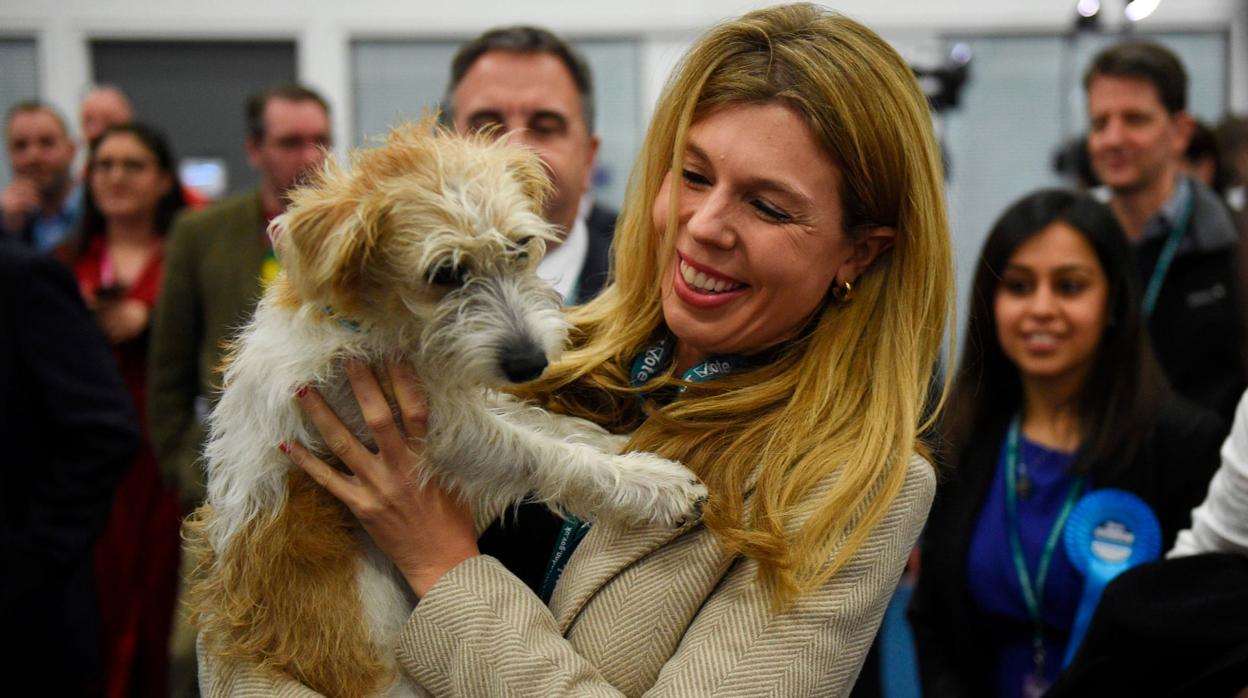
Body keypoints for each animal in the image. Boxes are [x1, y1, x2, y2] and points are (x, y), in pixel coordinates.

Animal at [189, 117, 708, 694]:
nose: (531, 363)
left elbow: (540, 421)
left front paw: (621, 443)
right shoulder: (436, 433)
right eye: (444, 274)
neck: (378, 324)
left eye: (521, 246)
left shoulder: (447, 399)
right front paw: (651, 484)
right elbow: (541, 453)